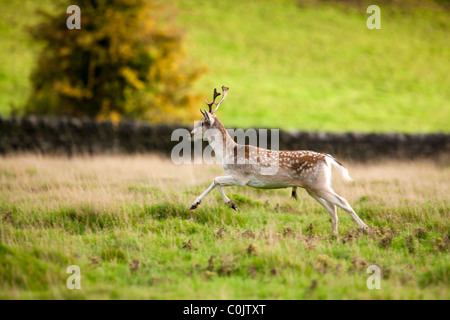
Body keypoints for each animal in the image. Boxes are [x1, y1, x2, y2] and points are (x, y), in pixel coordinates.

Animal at [188, 86, 370, 236]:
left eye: (201, 123)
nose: (190, 134)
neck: (228, 153)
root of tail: (326, 158)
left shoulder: (241, 177)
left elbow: (216, 180)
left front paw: (228, 204)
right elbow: (216, 181)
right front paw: (196, 205)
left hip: (319, 185)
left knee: (342, 202)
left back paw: (366, 230)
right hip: (313, 187)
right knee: (332, 208)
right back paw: (335, 235)